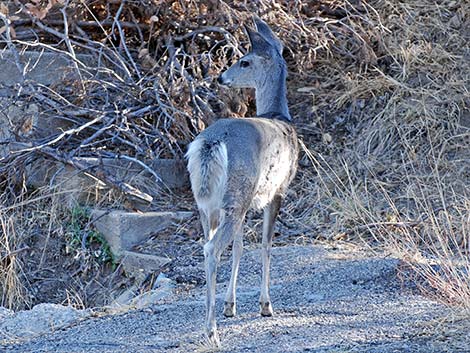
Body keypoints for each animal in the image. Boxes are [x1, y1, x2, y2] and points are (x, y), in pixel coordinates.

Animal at [186, 17, 300, 346]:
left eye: (244, 61)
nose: (221, 77)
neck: (278, 115)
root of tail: (211, 142)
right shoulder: (278, 190)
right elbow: (265, 244)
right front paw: (266, 305)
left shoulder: (251, 200)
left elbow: (239, 248)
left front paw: (230, 304)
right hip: (237, 193)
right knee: (212, 249)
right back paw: (211, 331)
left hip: (211, 203)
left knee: (208, 244)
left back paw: (212, 319)